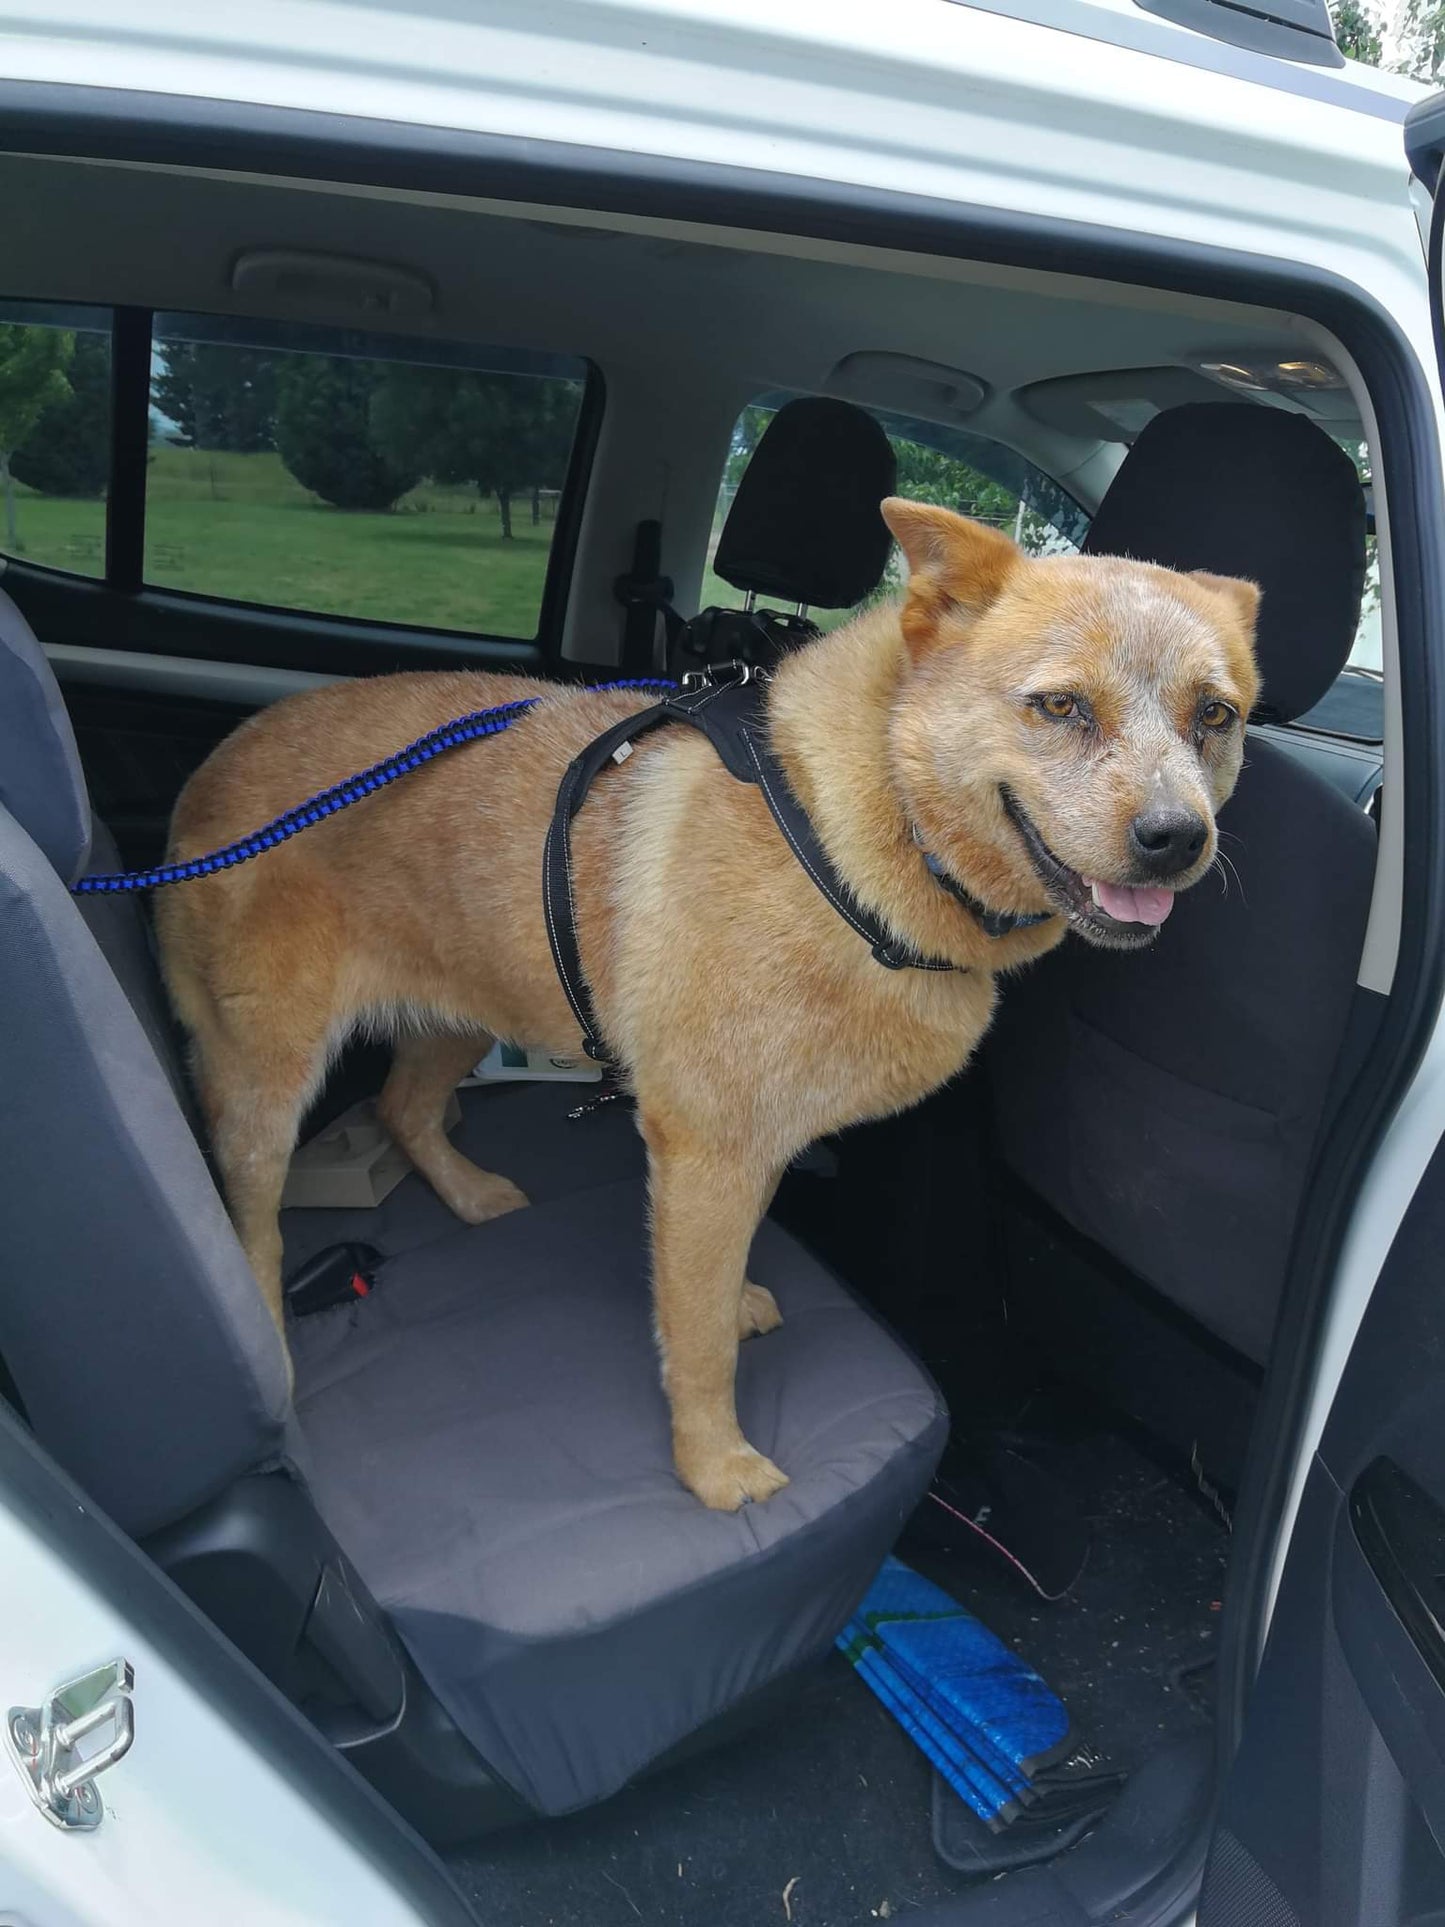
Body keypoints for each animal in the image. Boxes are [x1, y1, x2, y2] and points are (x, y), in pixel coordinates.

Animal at [157, 504, 1263, 1510]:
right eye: (1061, 706)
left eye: (1213, 716)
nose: (1176, 838)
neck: (852, 839)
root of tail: (214, 764)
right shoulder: (706, 1148)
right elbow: (692, 1343)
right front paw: (712, 1465)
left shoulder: (753, 1140)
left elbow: (721, 1276)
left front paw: (732, 1307)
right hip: (268, 1082)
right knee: (251, 1219)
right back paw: (268, 1337)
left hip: (468, 1002)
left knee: (401, 1107)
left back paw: (469, 1195)